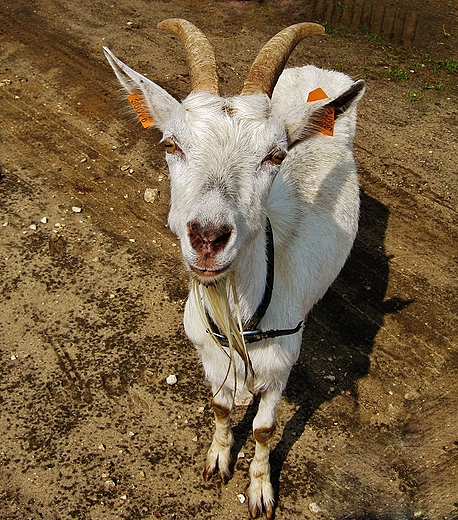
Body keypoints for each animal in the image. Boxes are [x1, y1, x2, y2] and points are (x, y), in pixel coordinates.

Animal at [104, 18, 364, 516]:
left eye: (276, 155)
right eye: (171, 144)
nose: (208, 237)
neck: (241, 318)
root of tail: (320, 74)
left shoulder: (282, 363)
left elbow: (264, 430)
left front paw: (260, 490)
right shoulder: (207, 352)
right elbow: (221, 408)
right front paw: (218, 460)